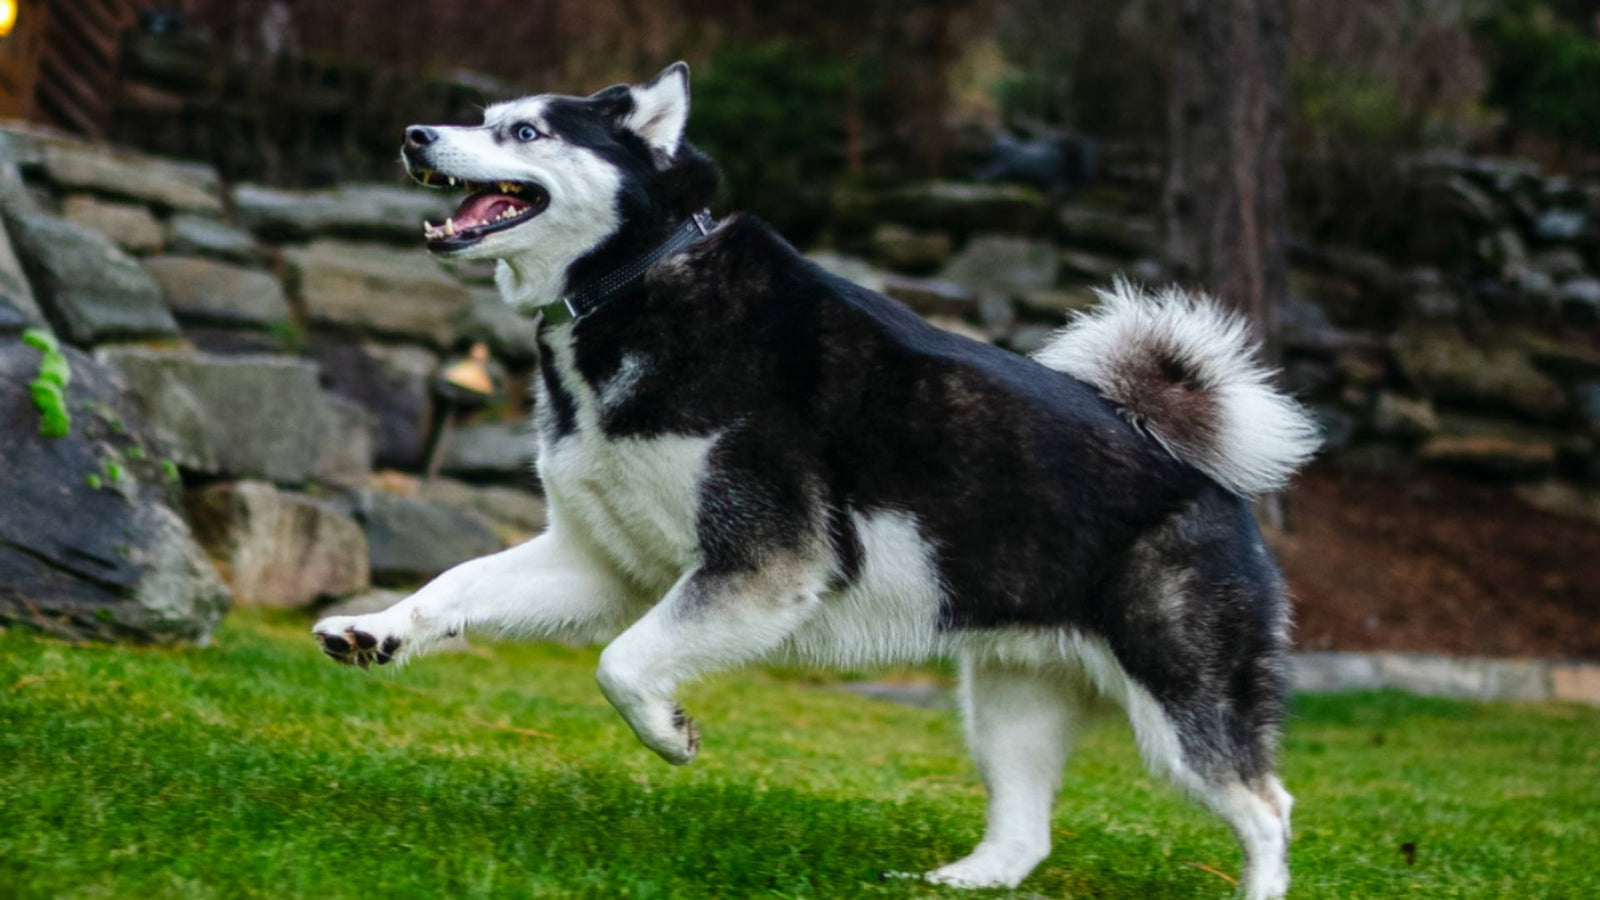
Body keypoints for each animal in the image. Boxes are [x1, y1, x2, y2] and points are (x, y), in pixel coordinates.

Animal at [308, 64, 1312, 896]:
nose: (415, 135)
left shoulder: (767, 560)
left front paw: (667, 731)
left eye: (527, 132)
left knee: (1269, 809)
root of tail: (1211, 482)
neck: (636, 282)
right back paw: (965, 880)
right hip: (1008, 704)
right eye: (480, 118)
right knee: (1026, 835)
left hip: (1182, 712)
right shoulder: (600, 560)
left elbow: (620, 663)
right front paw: (377, 628)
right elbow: (454, 584)